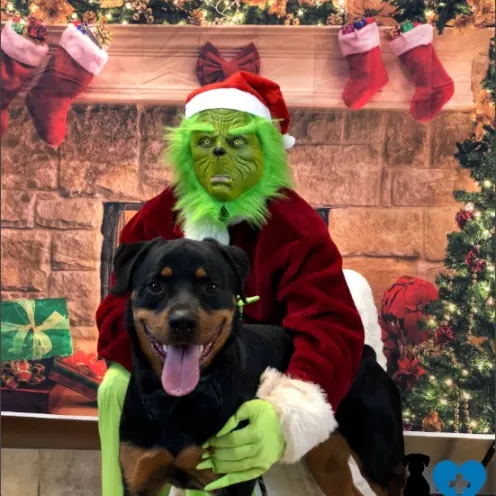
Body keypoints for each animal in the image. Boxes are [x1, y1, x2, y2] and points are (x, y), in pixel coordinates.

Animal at [110, 238, 292, 494]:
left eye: (212, 287)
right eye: (155, 286)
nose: (183, 322)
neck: (179, 401)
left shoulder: (235, 480)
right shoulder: (138, 477)